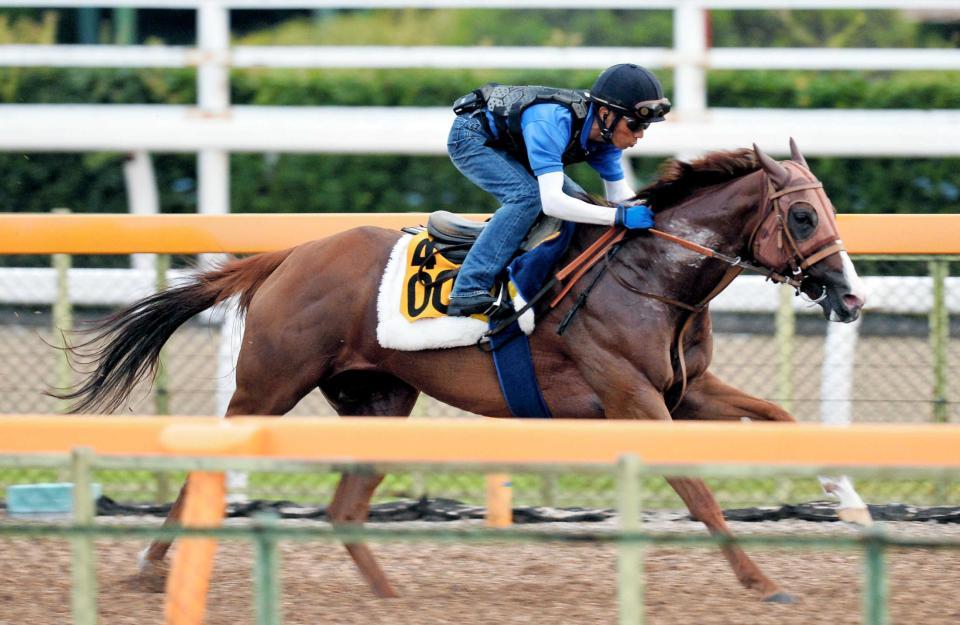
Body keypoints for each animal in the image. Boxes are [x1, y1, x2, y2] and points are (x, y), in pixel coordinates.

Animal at [58, 140, 872, 600]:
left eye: (829, 210)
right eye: (803, 216)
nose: (851, 294)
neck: (650, 271)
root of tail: (286, 254)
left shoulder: (688, 391)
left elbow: (782, 419)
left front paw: (853, 506)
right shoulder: (636, 400)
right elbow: (700, 495)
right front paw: (763, 582)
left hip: (380, 400)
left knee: (344, 507)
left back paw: (389, 595)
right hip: (267, 386)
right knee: (211, 464)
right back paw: (148, 567)